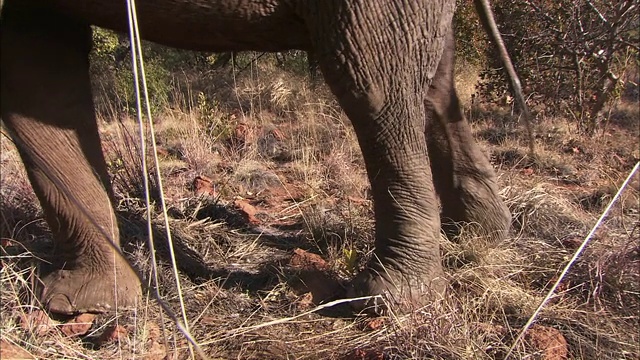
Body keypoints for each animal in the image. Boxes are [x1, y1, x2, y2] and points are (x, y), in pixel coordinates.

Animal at [1, 0, 516, 316]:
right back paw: (479, 236)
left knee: (374, 84)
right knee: (435, 84)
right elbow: (36, 68)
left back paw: (386, 300)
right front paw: (77, 307)